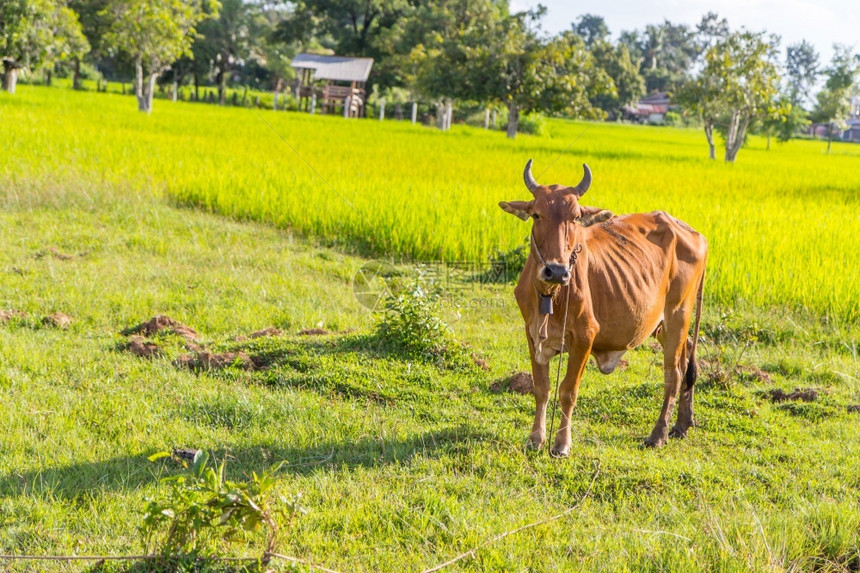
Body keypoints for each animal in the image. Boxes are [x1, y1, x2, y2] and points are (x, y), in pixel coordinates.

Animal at [498, 159, 704, 454]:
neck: (551, 294)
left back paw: (658, 434)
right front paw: (536, 438)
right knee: (686, 360)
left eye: (575, 217)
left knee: (673, 375)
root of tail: (694, 233)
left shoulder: (585, 336)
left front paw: (561, 444)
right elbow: (542, 388)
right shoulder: (531, 333)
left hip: (679, 315)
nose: (556, 271)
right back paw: (682, 425)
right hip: (663, 326)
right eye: (537, 214)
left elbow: (568, 390)